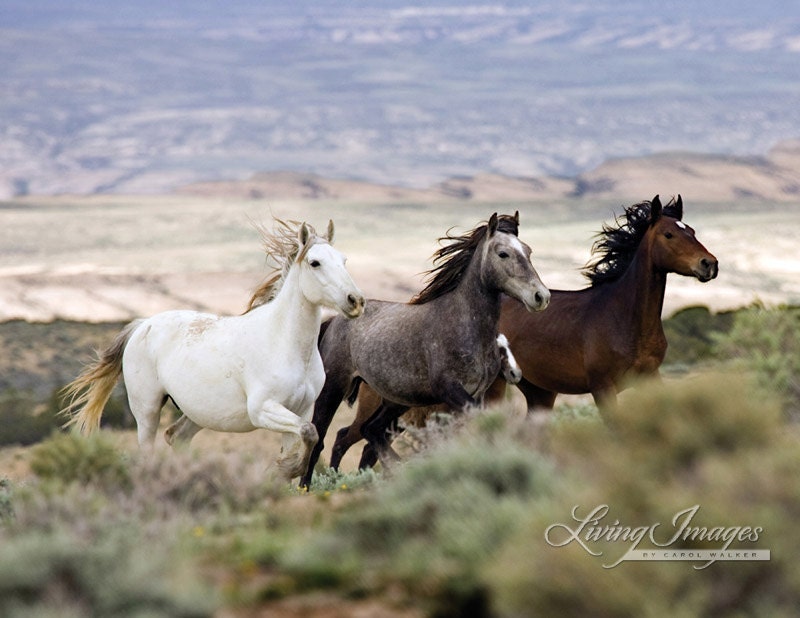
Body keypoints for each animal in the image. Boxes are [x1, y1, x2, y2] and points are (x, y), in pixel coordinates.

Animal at [60, 218, 365, 482]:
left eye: (344, 260)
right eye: (315, 263)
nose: (356, 301)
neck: (284, 343)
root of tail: (142, 325)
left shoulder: (300, 409)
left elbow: (305, 437)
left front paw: (283, 472)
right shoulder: (263, 409)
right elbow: (310, 434)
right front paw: (284, 470)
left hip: (199, 411)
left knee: (176, 435)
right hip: (146, 409)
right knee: (148, 449)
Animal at [328, 333, 522, 471]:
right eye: (499, 350)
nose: (516, 374)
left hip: (393, 425)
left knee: (369, 448)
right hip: (368, 415)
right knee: (343, 439)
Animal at [499, 194, 718, 414]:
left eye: (692, 232)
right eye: (669, 234)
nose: (709, 264)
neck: (624, 318)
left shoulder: (650, 376)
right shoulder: (602, 387)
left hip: (540, 391)